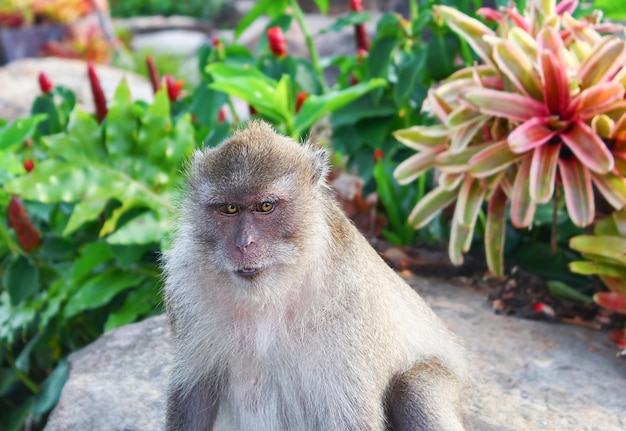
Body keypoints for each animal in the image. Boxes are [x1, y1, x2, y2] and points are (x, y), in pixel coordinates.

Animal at [163, 119, 466, 431]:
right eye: (230, 208)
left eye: (265, 206)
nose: (244, 244)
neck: (272, 293)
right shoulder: (186, 285)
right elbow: (194, 396)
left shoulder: (350, 297)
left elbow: (352, 417)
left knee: (413, 386)